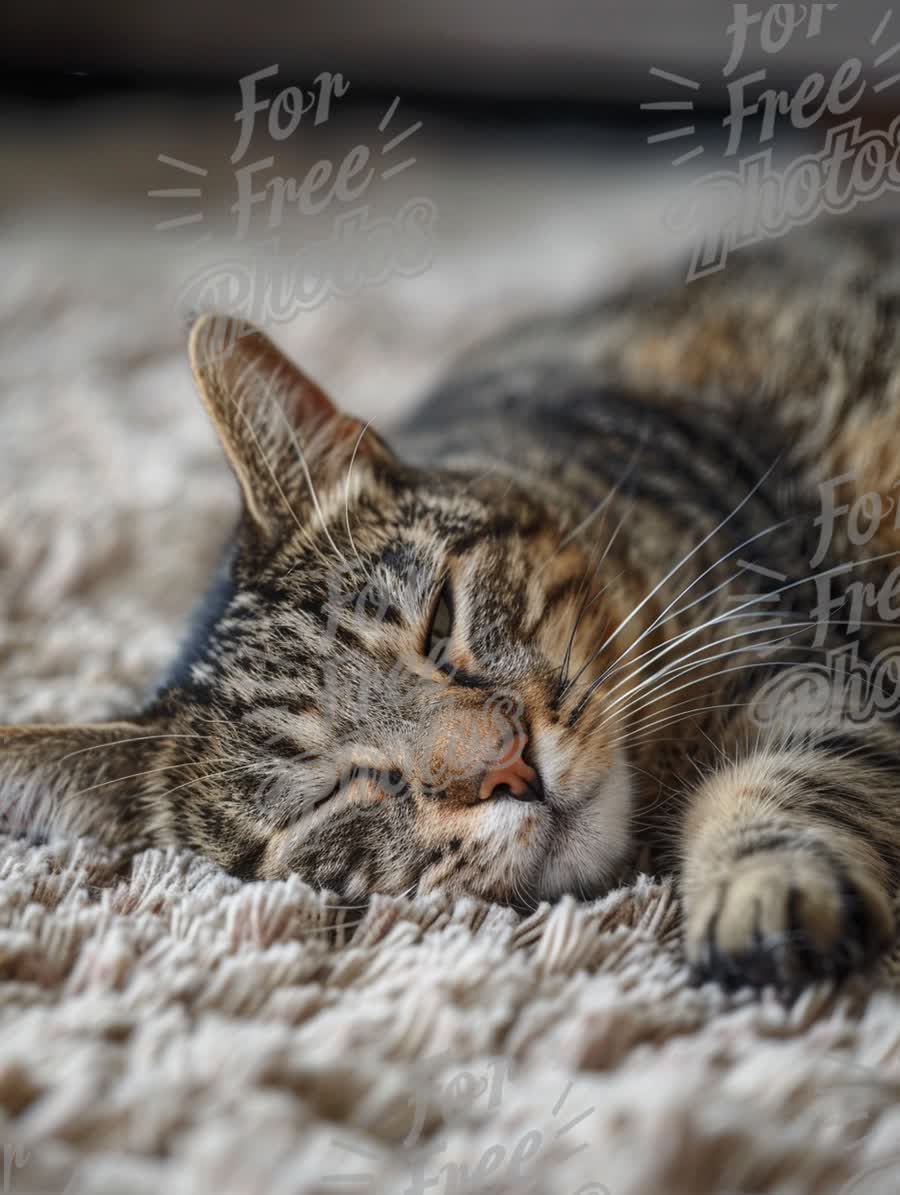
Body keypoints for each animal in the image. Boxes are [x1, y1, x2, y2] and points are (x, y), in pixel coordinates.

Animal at [1, 222, 898, 989]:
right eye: (337, 789)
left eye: (438, 622)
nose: (510, 766)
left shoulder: (803, 649)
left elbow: (801, 767)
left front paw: (763, 884)